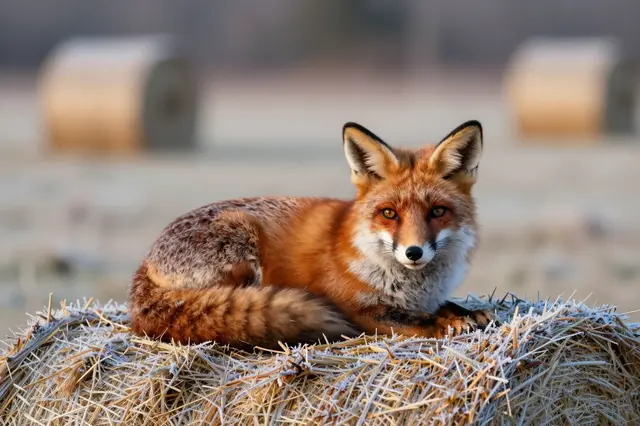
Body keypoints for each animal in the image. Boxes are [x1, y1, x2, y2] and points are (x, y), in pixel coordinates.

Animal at [128, 120, 496, 350]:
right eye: (389, 213)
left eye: (437, 212)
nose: (414, 252)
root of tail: (143, 265)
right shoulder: (357, 309)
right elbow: (418, 319)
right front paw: (446, 324)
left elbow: (446, 305)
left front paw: (467, 313)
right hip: (243, 245)